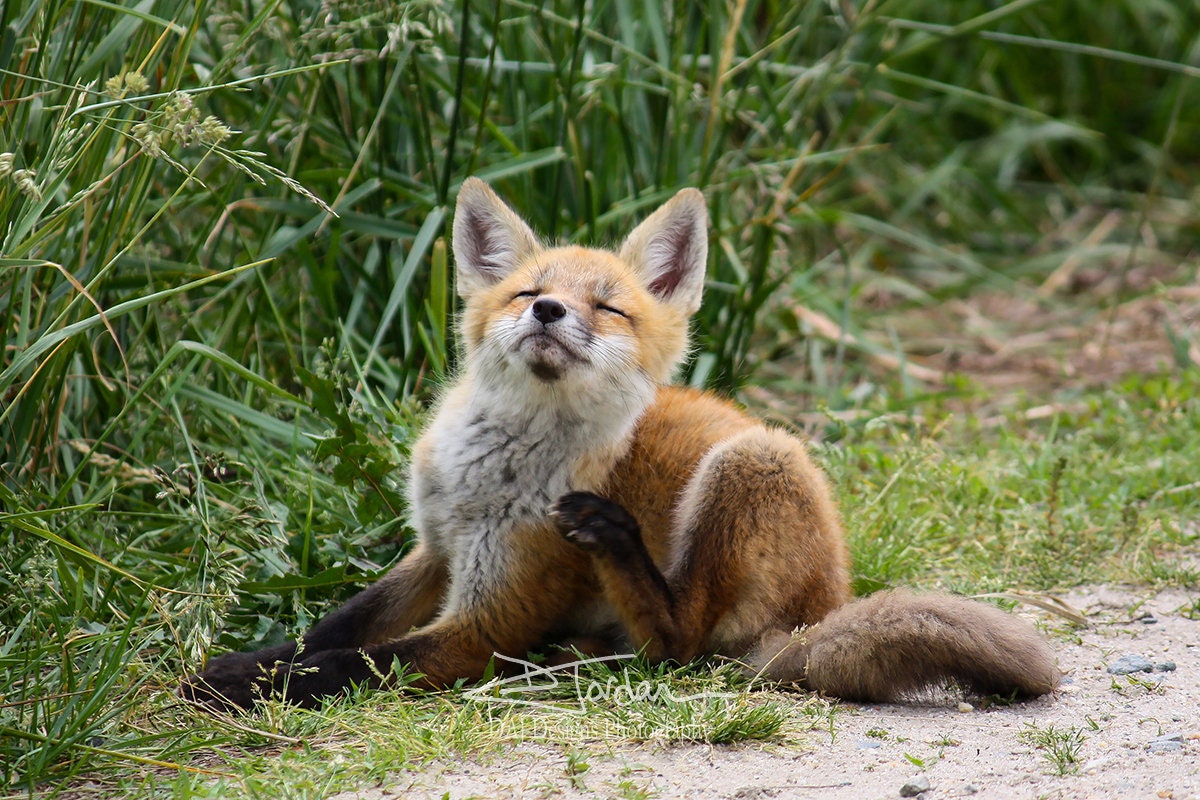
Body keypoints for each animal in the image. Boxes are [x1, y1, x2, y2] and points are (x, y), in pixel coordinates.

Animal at [182, 178, 1059, 711]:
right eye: (530, 293)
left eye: (607, 308)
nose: (549, 314)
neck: (492, 473)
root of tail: (826, 607)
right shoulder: (436, 550)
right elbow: (333, 629)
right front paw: (246, 661)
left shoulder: (489, 614)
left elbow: (353, 662)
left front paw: (240, 685)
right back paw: (571, 651)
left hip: (752, 464)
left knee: (678, 642)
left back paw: (614, 568)